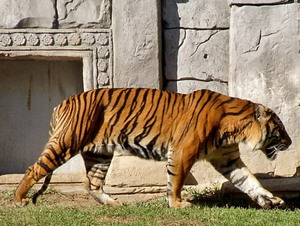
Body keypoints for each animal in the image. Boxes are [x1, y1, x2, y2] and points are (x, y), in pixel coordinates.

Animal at [13, 88, 290, 208]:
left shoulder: (227, 159)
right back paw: (19, 199)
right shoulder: (182, 152)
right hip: (66, 142)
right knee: (34, 169)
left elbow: (249, 180)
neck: (234, 129)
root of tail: (62, 103)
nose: (289, 143)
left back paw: (113, 203)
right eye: (280, 128)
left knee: (91, 183)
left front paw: (270, 199)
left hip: (99, 153)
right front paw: (178, 204)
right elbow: (176, 181)